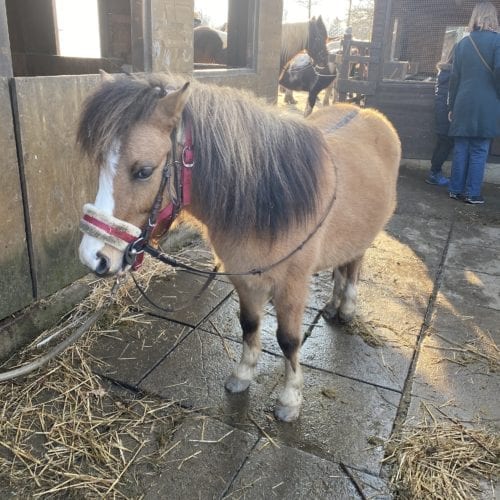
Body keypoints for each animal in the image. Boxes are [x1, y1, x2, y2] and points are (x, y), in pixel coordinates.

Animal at [76, 73, 400, 422]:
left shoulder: (292, 288)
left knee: (353, 265)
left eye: (144, 171)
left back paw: (347, 307)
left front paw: (290, 399)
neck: (267, 202)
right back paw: (332, 304)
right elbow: (249, 325)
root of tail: (369, 113)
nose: (94, 257)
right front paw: (243, 375)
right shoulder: (244, 280)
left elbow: (288, 341)